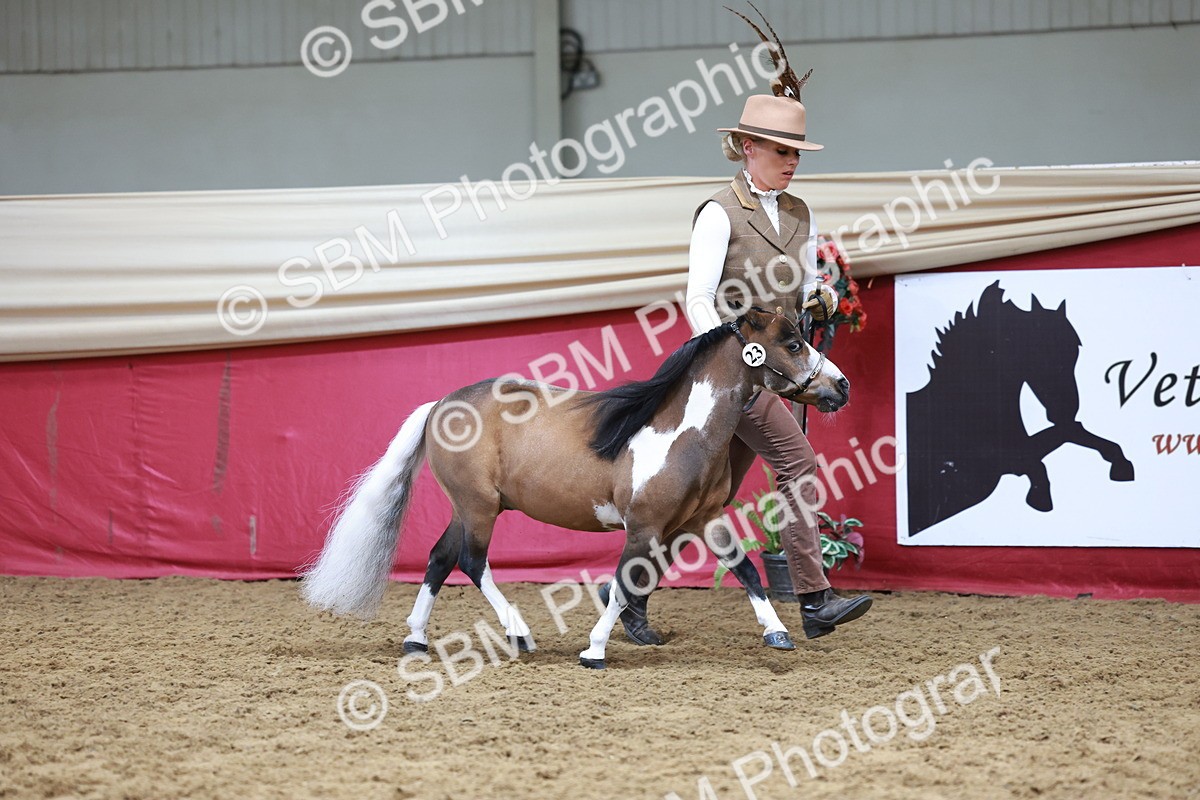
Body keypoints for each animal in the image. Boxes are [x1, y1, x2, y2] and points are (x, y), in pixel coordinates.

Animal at [301, 307, 849, 669]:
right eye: (793, 344)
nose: (840, 387)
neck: (680, 431)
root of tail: (441, 404)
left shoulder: (703, 520)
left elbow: (747, 571)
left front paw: (778, 633)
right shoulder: (644, 527)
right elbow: (624, 585)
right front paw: (594, 649)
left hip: (469, 507)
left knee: (438, 558)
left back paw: (416, 639)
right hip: (479, 507)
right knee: (471, 562)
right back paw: (518, 634)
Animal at [905, 280, 1134, 536]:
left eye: (1076, 348)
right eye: (1036, 349)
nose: (1065, 411)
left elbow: (1070, 433)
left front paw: (1121, 464)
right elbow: (1037, 463)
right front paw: (1040, 498)